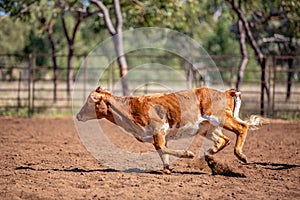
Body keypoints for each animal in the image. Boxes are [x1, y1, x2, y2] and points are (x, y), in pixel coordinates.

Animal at [77, 86, 262, 172]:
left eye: (90, 100)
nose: (78, 115)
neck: (131, 110)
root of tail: (226, 92)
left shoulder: (159, 129)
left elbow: (163, 147)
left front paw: (188, 154)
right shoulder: (156, 136)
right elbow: (162, 150)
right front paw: (166, 169)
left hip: (221, 118)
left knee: (242, 127)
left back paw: (240, 155)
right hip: (207, 128)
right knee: (224, 140)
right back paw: (209, 155)